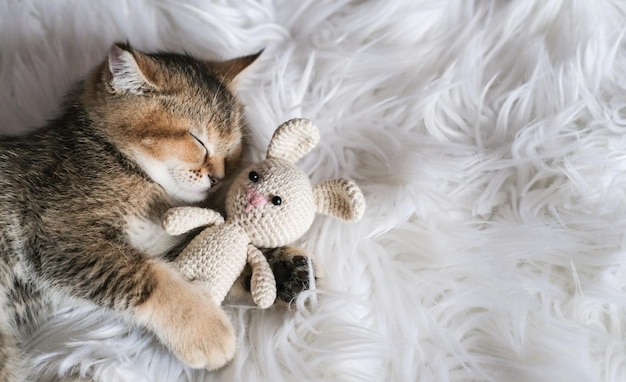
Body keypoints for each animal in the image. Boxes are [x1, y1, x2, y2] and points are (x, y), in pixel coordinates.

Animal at [0, 43, 312, 380]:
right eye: (197, 140)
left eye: (231, 149)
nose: (218, 177)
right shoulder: (59, 233)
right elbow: (150, 276)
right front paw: (204, 329)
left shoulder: (159, 242)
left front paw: (280, 270)